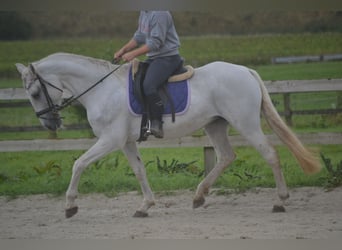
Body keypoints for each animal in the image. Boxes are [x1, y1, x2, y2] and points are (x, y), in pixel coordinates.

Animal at [16, 53, 320, 219]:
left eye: (35, 93)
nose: (50, 124)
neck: (101, 89)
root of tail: (245, 70)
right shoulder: (126, 142)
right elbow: (139, 171)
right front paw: (145, 206)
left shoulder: (110, 141)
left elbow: (79, 163)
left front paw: (70, 206)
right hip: (215, 125)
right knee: (226, 156)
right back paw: (198, 197)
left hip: (245, 123)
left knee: (270, 154)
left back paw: (280, 201)